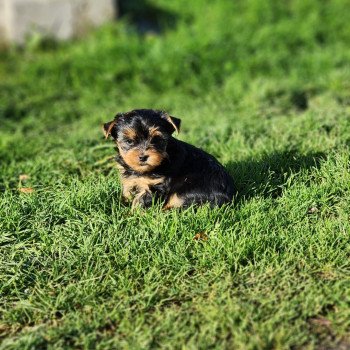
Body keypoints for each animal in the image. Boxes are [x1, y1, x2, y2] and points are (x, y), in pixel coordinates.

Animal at [102, 108, 234, 208]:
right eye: (129, 141)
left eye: (156, 140)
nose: (143, 157)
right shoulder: (130, 180)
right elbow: (128, 192)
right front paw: (123, 204)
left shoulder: (154, 185)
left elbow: (140, 202)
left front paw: (132, 216)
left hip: (187, 190)